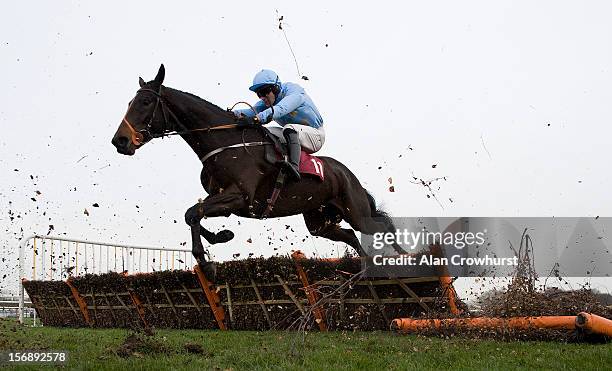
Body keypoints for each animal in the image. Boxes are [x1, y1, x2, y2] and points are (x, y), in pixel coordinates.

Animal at [112, 64, 404, 280]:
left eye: (145, 101)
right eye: (129, 102)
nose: (120, 141)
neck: (223, 142)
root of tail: (349, 175)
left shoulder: (241, 197)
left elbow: (193, 212)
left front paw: (207, 266)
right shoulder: (225, 201)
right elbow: (192, 214)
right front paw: (222, 237)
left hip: (354, 209)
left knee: (380, 226)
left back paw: (403, 256)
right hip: (319, 220)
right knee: (351, 235)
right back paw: (366, 268)